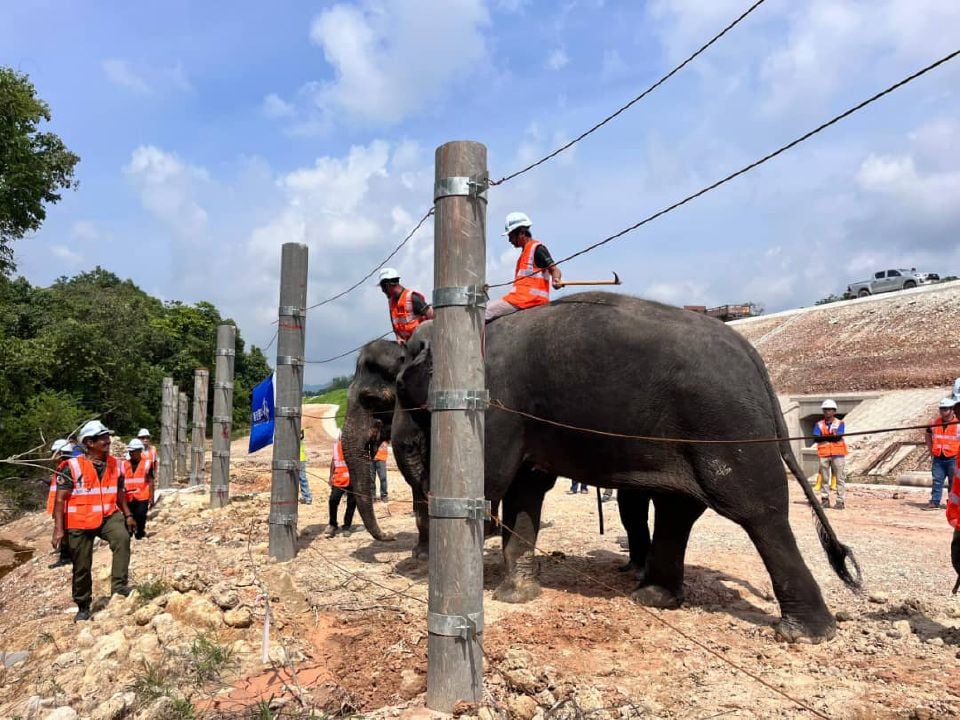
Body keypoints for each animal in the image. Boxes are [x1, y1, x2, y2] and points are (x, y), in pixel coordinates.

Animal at [376, 296, 864, 644]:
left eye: (400, 384)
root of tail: (752, 355)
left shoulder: (497, 403)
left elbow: (495, 478)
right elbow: (525, 488)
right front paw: (517, 595)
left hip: (726, 426)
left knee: (758, 512)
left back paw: (805, 633)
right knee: (679, 508)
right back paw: (654, 597)